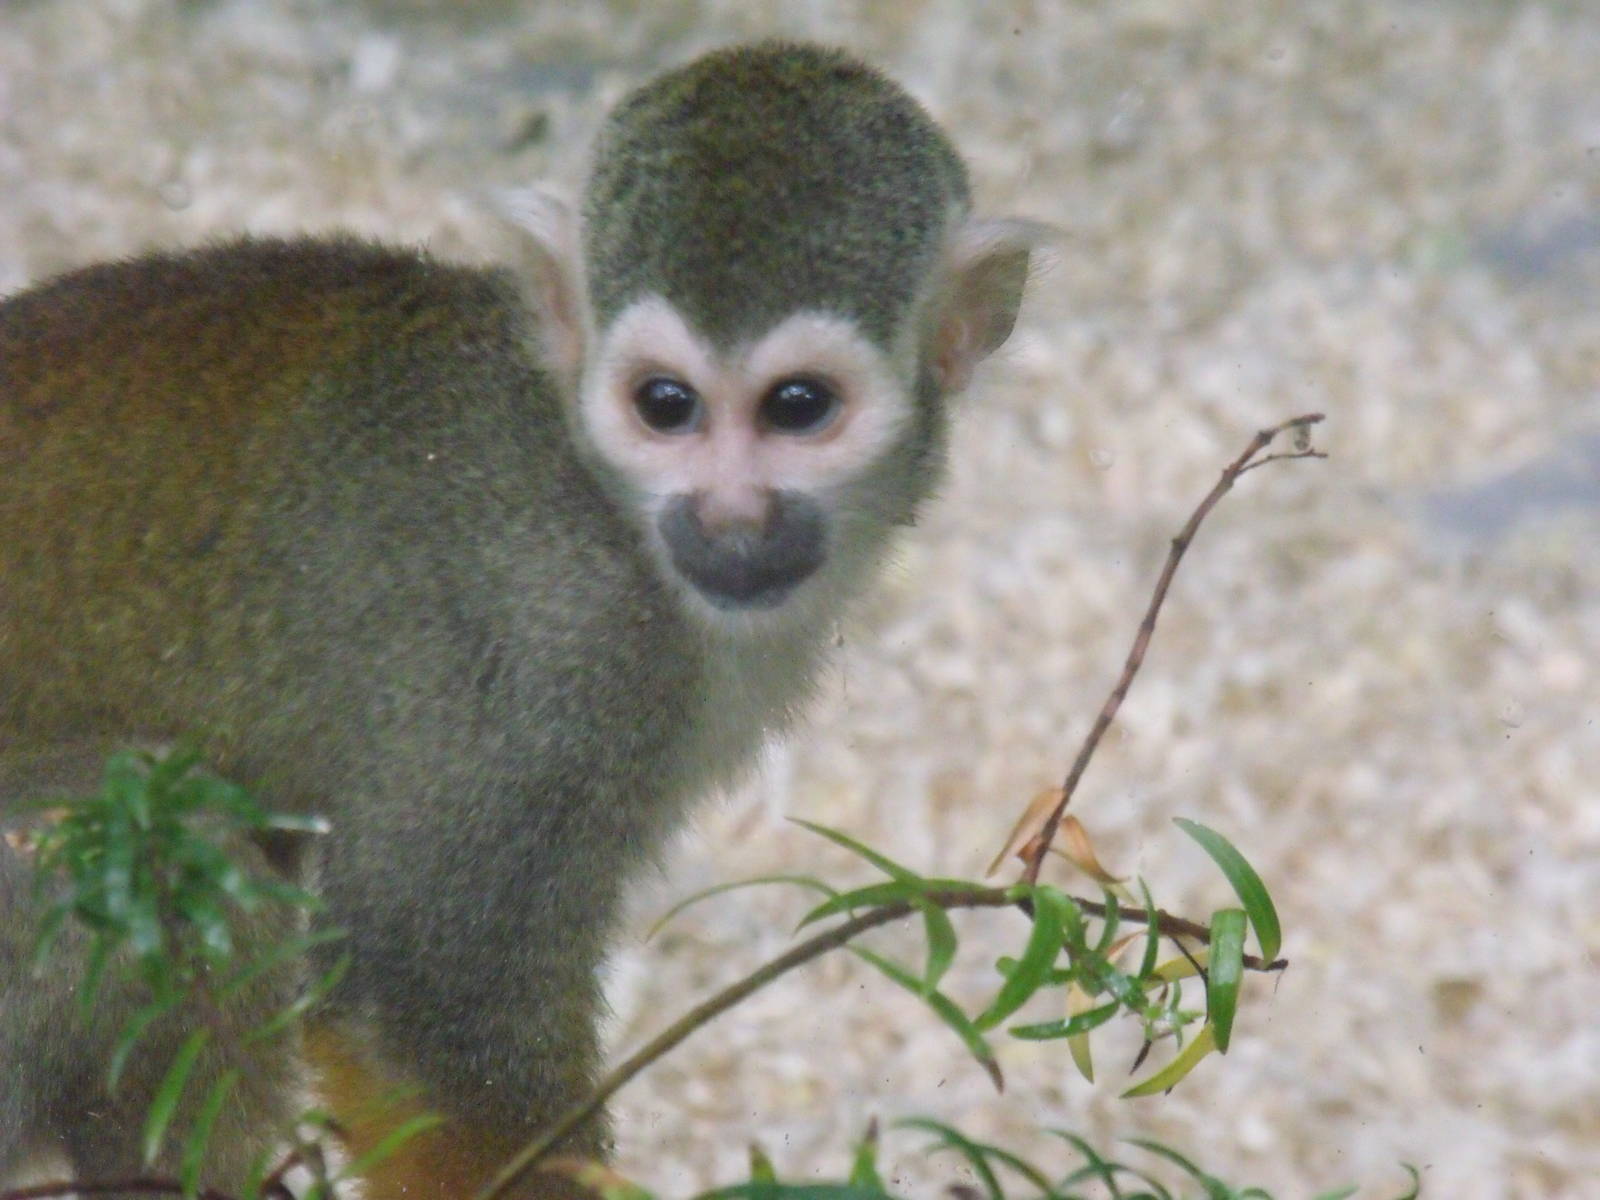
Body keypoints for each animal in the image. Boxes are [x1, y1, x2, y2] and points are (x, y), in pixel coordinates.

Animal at [0, 39, 1040, 1199]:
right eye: (666, 405)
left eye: (798, 407)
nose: (729, 519)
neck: (604, 502)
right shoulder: (556, 648)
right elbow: (419, 1014)